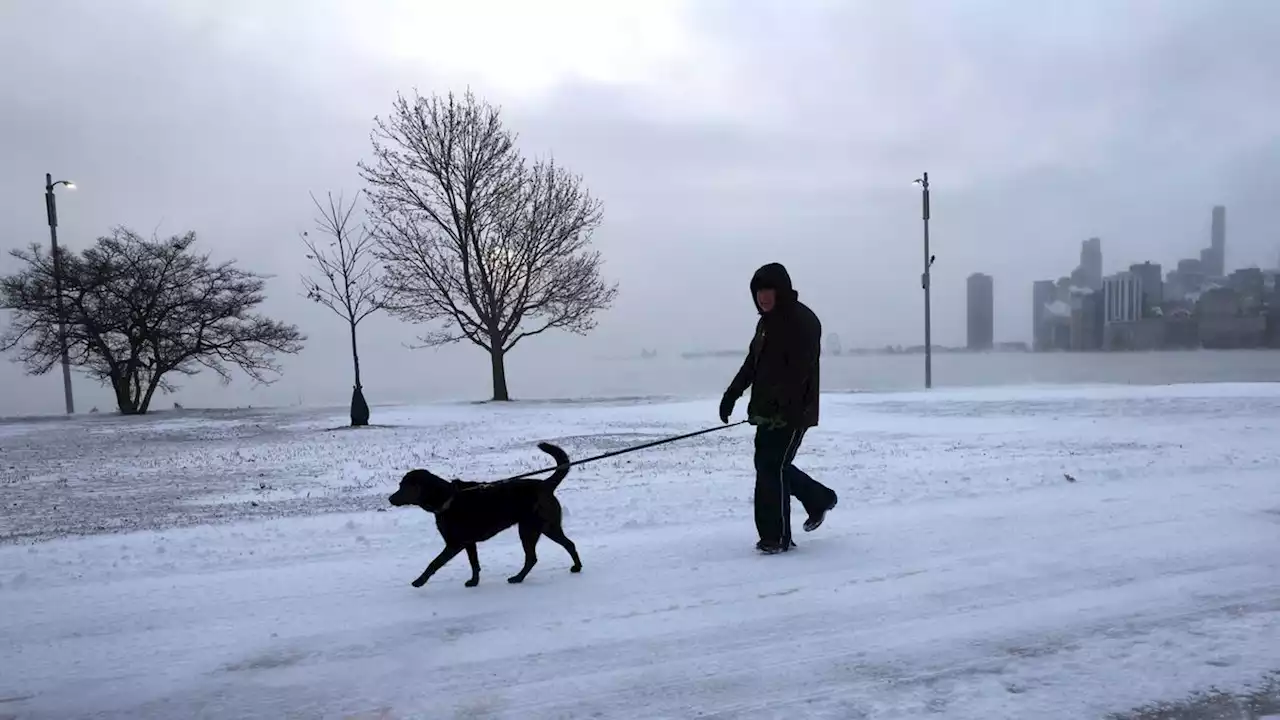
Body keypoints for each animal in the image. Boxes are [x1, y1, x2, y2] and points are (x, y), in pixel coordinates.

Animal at [386, 440, 583, 586]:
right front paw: (474, 582)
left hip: (530, 529)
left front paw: (419, 581)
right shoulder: (469, 542)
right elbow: (474, 563)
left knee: (533, 557)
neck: (447, 498)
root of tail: (545, 485)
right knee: (568, 544)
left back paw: (518, 578)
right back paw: (576, 567)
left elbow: (434, 562)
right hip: (547, 527)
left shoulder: (454, 543)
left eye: (404, 487)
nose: (390, 498)